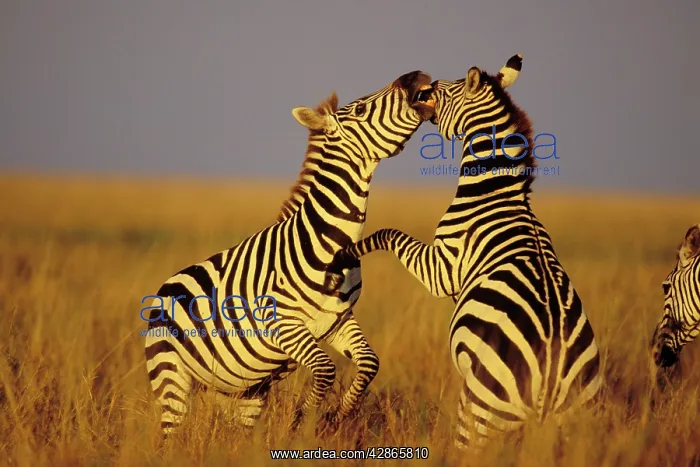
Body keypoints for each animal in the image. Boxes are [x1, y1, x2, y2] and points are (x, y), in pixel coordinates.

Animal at [143, 70, 436, 437]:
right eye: (360, 109)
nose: (416, 76)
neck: (330, 246)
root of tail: (164, 287)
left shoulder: (338, 320)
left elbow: (369, 363)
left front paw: (335, 416)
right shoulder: (281, 325)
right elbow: (325, 370)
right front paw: (300, 422)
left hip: (242, 390)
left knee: (233, 435)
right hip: (171, 375)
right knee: (171, 433)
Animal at [325, 55, 602, 449]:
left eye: (446, 89)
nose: (422, 85)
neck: (495, 192)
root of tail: (551, 372)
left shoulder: (443, 267)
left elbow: (388, 234)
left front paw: (346, 253)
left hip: (480, 409)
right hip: (578, 419)